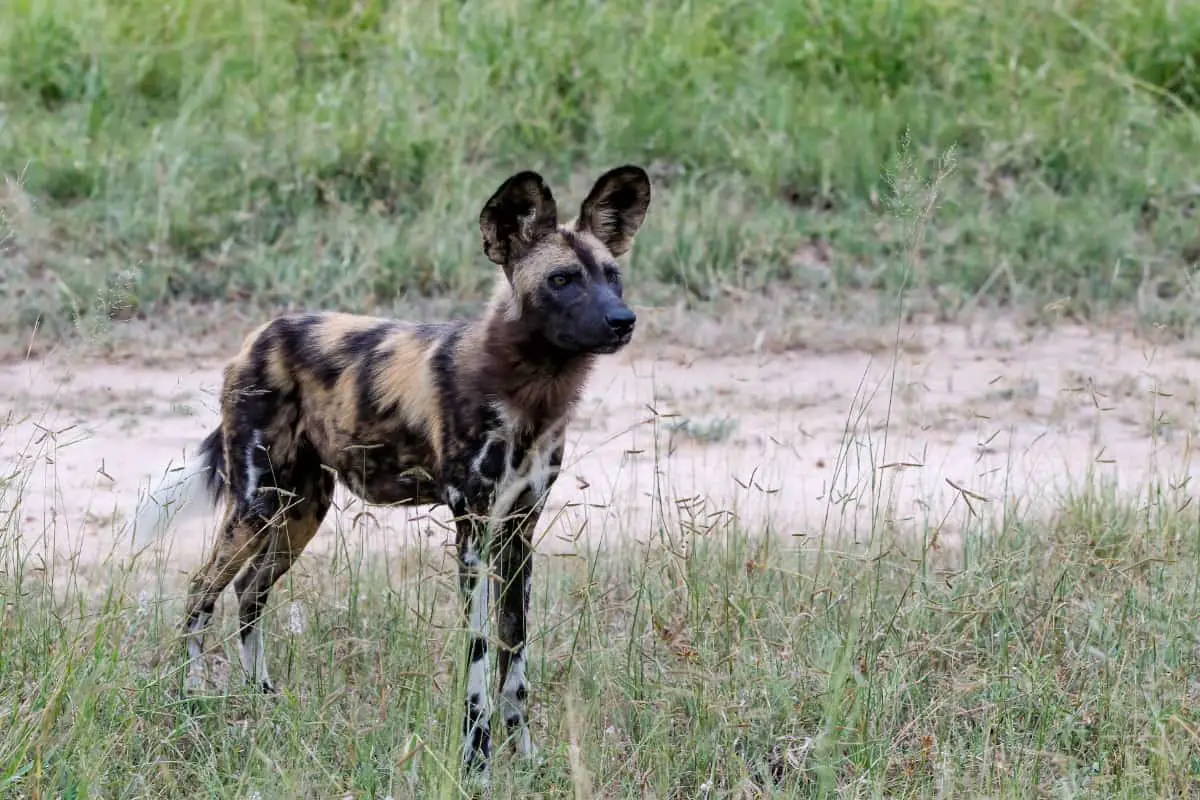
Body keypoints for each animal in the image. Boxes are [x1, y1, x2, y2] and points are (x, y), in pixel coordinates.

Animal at [130, 164, 652, 777]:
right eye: (563, 279)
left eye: (613, 276)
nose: (623, 320)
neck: (531, 389)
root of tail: (258, 336)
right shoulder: (473, 534)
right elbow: (479, 663)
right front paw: (476, 763)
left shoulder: (519, 532)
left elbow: (514, 659)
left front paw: (525, 756)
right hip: (256, 507)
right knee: (200, 593)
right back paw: (189, 699)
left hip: (301, 511)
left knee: (248, 593)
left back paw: (266, 699)